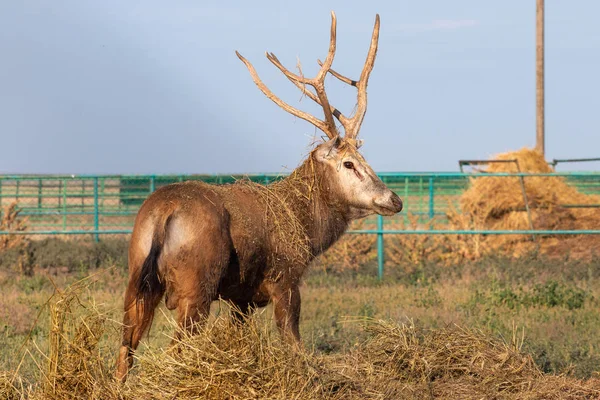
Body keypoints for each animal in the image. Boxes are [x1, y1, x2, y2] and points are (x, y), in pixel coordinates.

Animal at [115, 10, 400, 382]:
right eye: (349, 163)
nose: (394, 199)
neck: (307, 232)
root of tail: (164, 212)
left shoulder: (241, 299)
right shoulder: (285, 279)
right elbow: (294, 342)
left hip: (137, 276)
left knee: (125, 349)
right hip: (196, 286)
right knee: (175, 350)